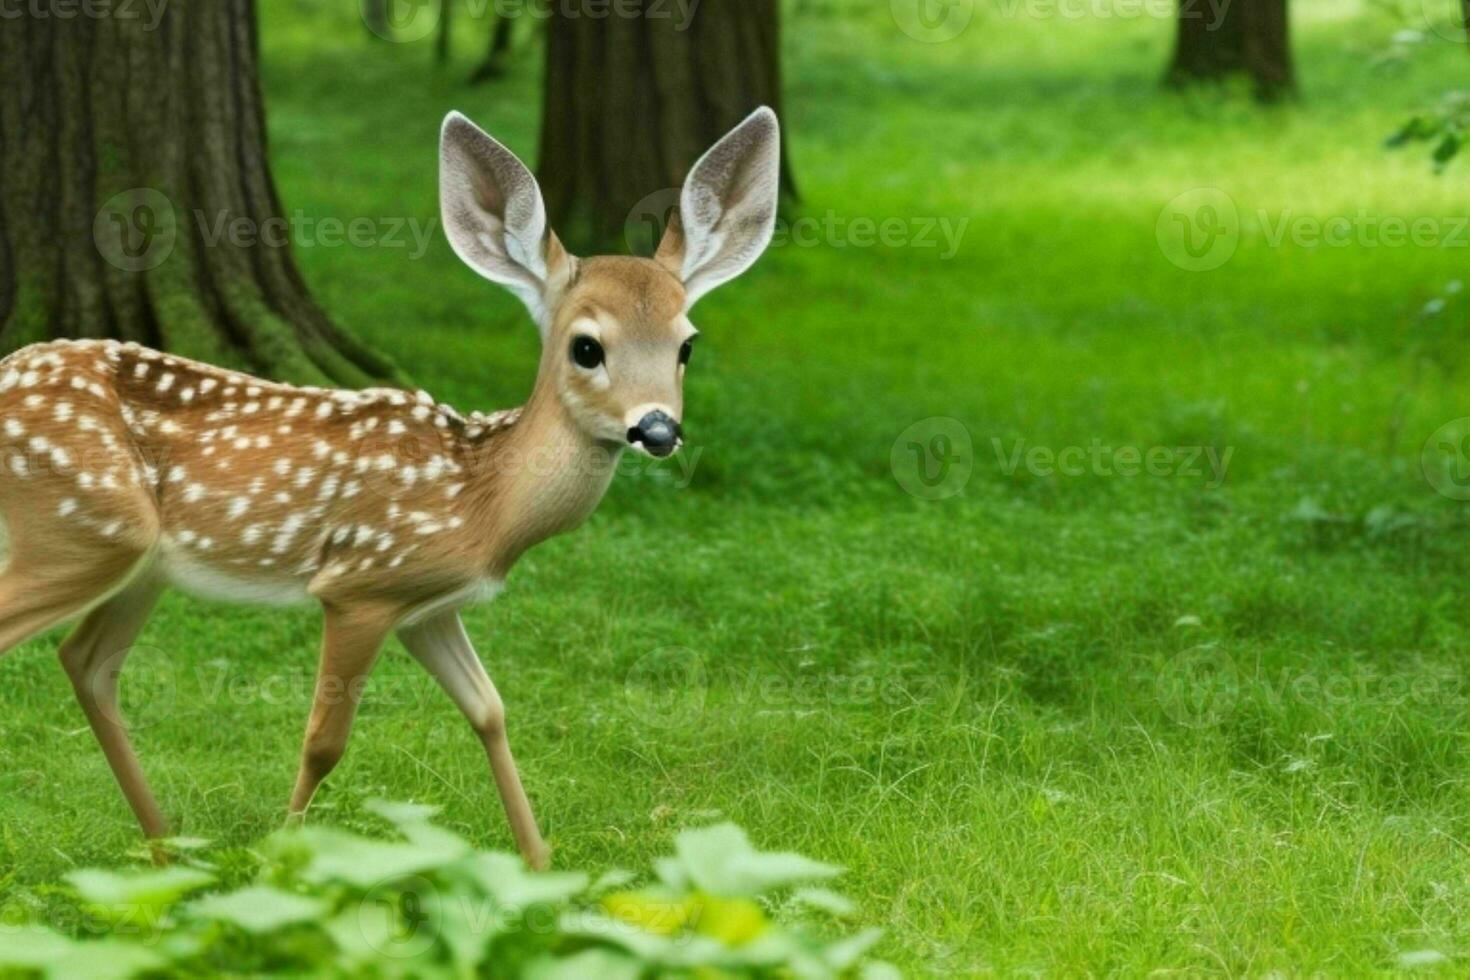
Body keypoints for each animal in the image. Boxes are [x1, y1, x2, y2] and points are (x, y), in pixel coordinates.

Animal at [0, 109, 782, 875]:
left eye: (687, 344)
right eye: (586, 347)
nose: (658, 429)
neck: (482, 501)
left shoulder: (428, 607)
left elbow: (489, 710)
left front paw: (538, 866)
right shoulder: (361, 584)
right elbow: (325, 741)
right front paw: (280, 865)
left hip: (140, 566)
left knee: (87, 662)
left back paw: (167, 851)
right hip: (82, 531)